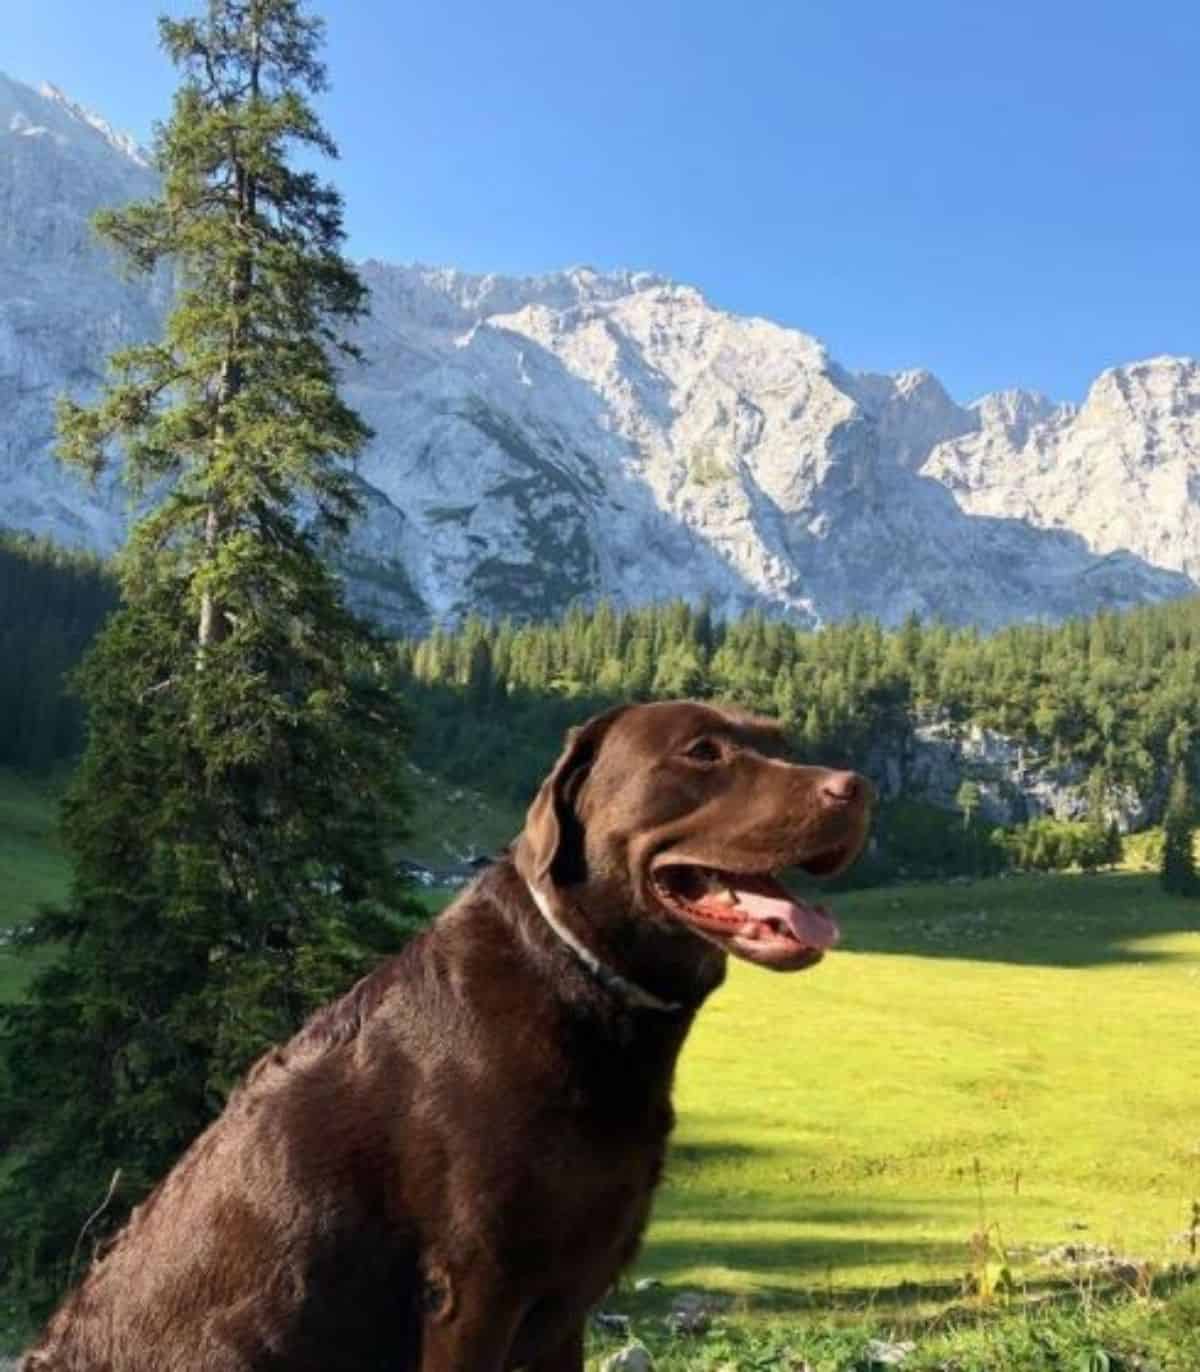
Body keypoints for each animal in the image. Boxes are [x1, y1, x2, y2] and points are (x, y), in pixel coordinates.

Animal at [25, 702, 872, 1366]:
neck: (580, 977)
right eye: (703, 751)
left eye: (778, 739)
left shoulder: (565, 1302)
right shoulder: (474, 1292)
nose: (856, 788)